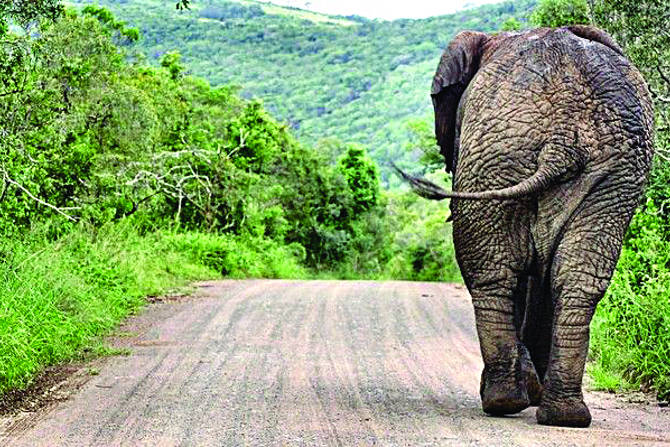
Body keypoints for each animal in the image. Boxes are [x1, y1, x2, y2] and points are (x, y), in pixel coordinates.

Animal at [396, 25, 652, 430]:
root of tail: (562, 140)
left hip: (494, 156)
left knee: (493, 274)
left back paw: (503, 400)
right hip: (614, 175)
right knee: (576, 280)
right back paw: (564, 415)